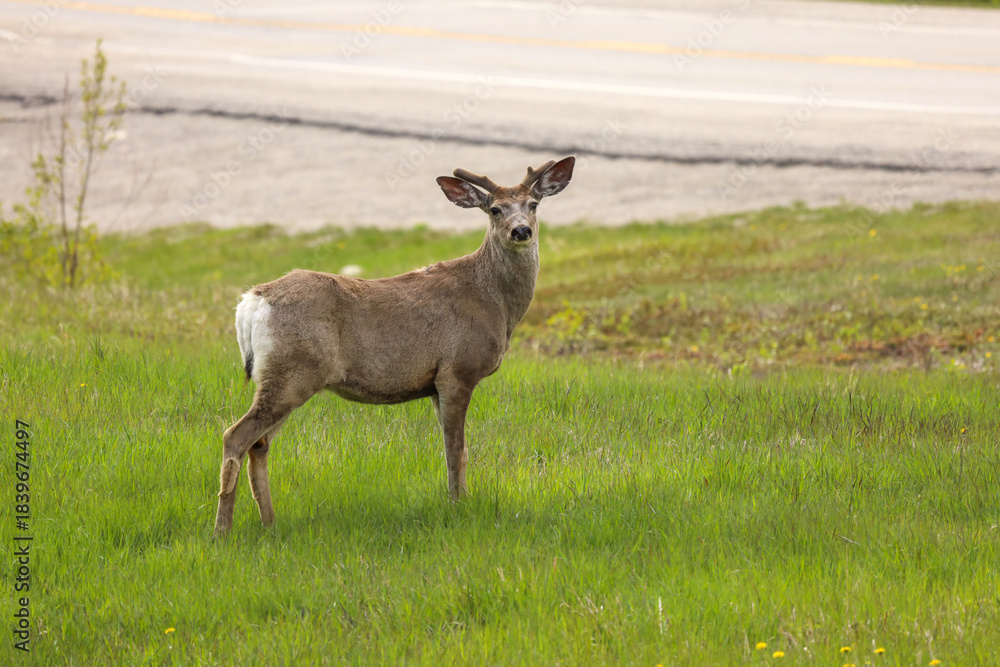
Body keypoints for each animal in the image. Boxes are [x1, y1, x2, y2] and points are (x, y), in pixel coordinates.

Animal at [213, 156, 576, 535]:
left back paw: (269, 522)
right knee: (235, 436)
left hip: (285, 376)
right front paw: (459, 505)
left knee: (260, 444)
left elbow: (454, 450)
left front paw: (457, 501)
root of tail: (252, 300)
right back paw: (222, 530)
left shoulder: (434, 384)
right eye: (494, 209)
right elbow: (456, 449)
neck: (496, 303)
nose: (521, 231)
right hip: (293, 370)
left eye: (533, 204)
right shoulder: (457, 370)